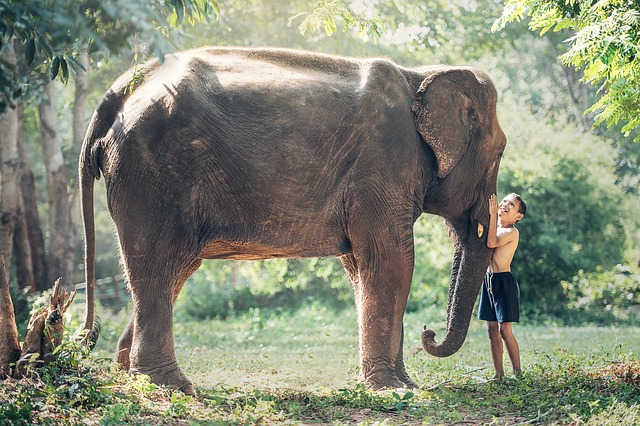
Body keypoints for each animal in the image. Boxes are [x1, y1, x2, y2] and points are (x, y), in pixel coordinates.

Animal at [79, 47, 506, 394]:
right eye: (501, 152)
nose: (429, 332)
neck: (420, 75)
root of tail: (118, 92)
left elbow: (360, 266)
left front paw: (401, 384)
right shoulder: (383, 164)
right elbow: (391, 262)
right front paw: (396, 389)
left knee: (173, 271)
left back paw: (128, 374)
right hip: (152, 174)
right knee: (159, 263)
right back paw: (172, 386)